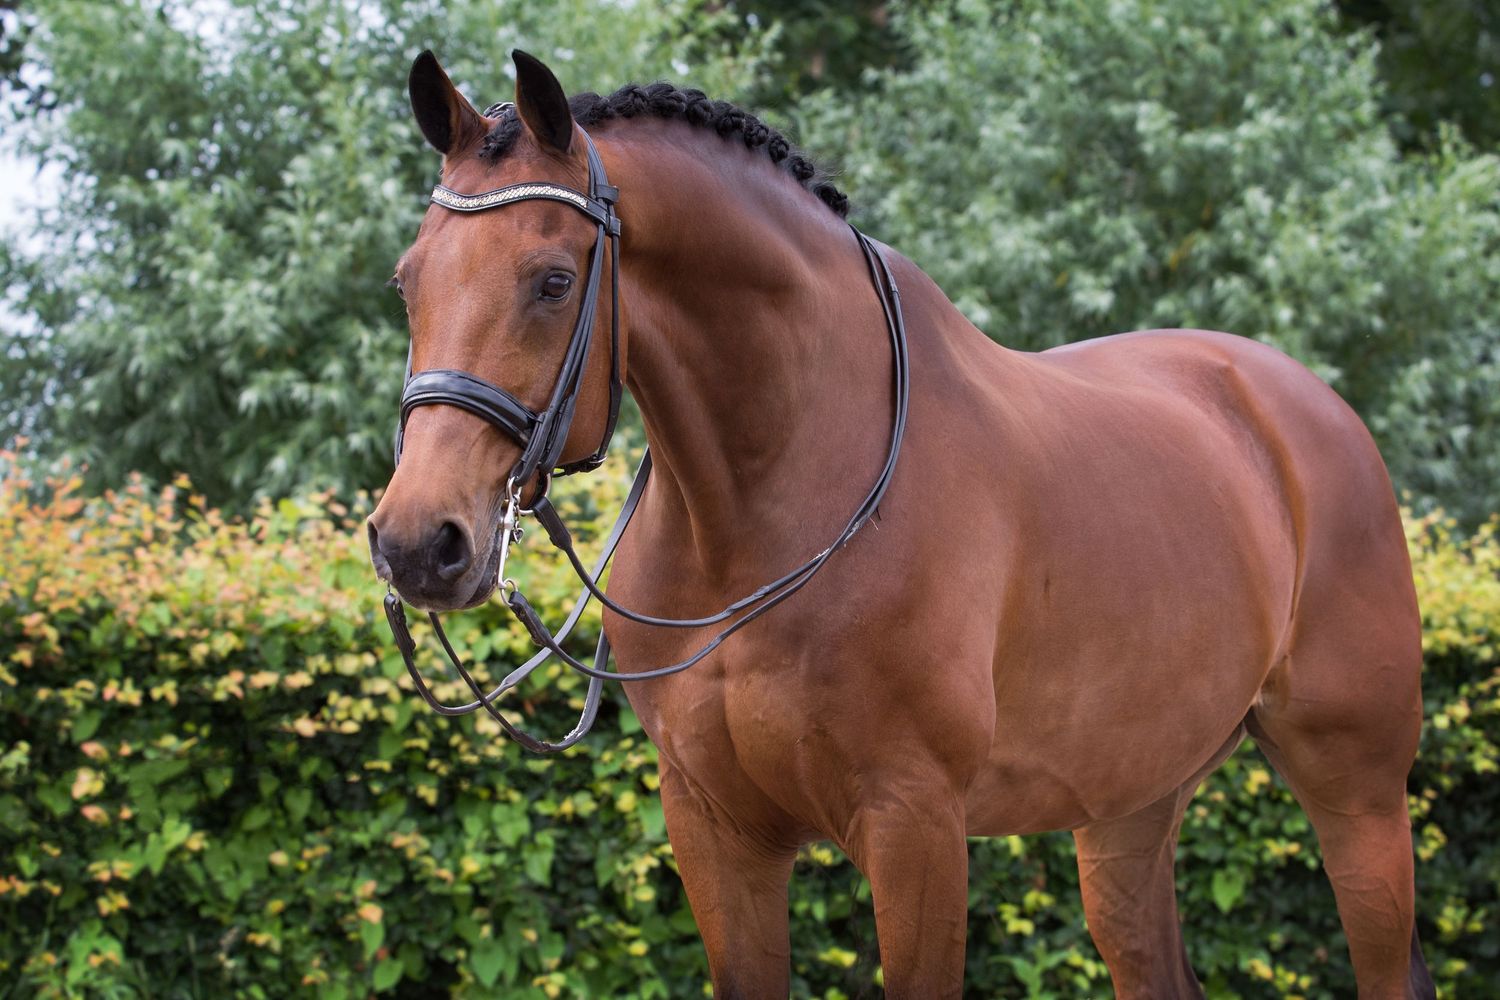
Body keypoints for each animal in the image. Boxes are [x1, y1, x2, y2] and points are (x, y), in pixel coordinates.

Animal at [366, 49, 1433, 999]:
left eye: (552, 280)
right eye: (407, 282)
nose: (420, 543)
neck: (767, 516)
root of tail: (1297, 406)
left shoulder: (914, 824)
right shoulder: (713, 828)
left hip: (1358, 792)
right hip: (1131, 804)